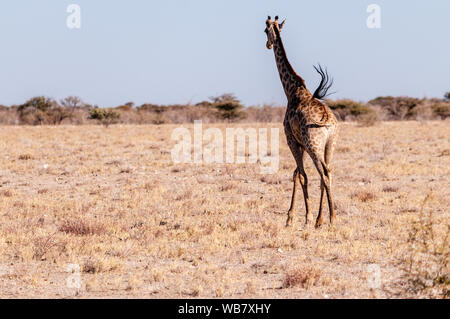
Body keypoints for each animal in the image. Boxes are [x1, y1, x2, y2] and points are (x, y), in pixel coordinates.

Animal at [264, 16, 338, 229]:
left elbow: (302, 175)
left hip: (314, 145)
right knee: (328, 173)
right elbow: (296, 174)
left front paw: (306, 217)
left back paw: (330, 218)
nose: (267, 44)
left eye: (265, 30)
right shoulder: (300, 143)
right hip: (330, 144)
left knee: (323, 174)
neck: (291, 91)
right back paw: (323, 219)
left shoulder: (291, 139)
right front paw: (290, 217)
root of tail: (328, 122)